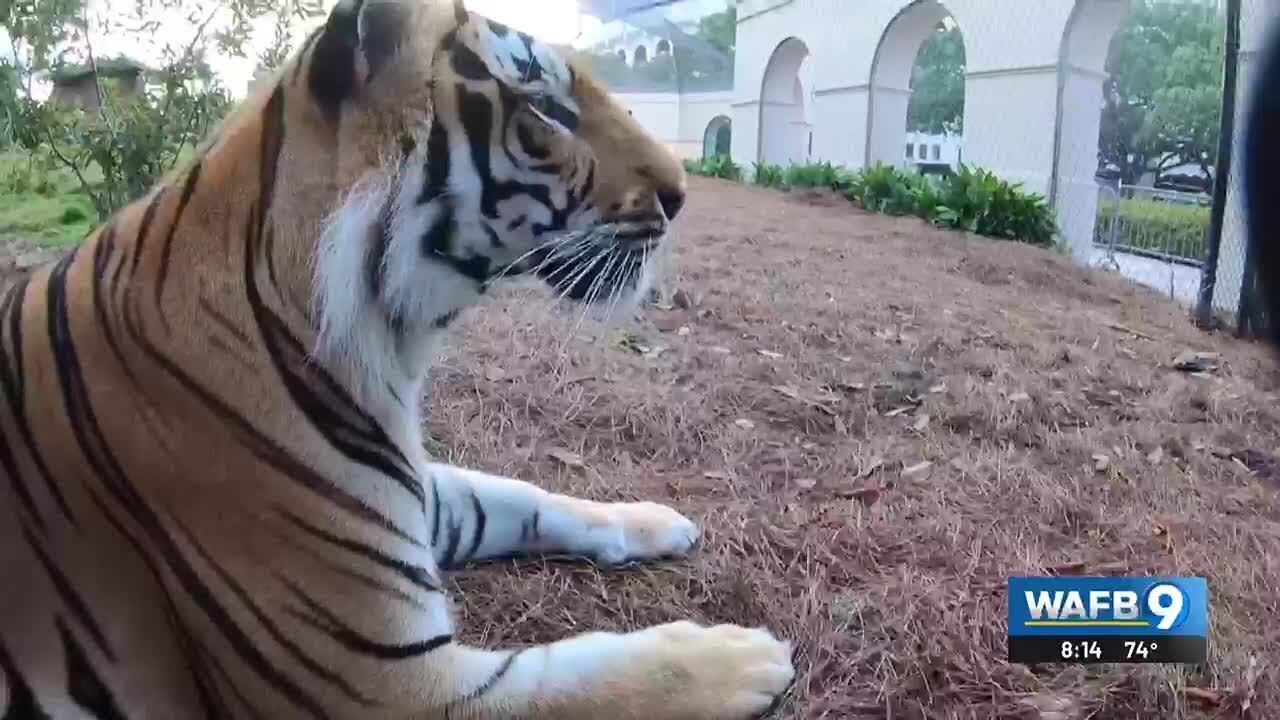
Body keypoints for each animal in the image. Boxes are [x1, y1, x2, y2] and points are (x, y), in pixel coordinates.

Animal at [0, 0, 795, 717]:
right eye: (546, 109)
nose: (681, 196)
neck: (390, 344)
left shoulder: (414, 496)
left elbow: (527, 496)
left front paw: (657, 519)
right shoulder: (377, 679)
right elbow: (590, 679)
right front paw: (746, 654)